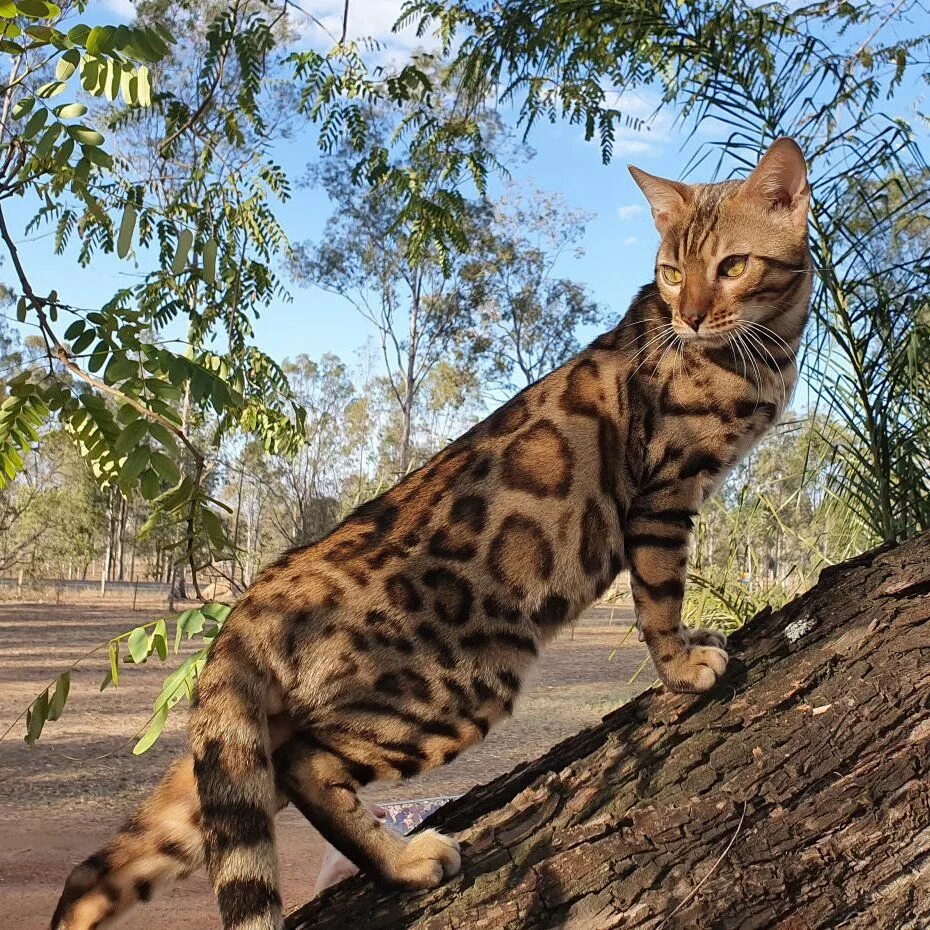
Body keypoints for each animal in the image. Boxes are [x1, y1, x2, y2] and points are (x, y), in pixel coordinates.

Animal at [50, 138, 808, 928]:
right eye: (672, 272)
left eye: (732, 266)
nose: (687, 318)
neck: (768, 348)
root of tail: (257, 597)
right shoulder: (665, 490)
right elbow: (660, 598)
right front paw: (682, 665)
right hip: (462, 683)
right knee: (305, 769)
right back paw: (405, 861)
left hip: (231, 755)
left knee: (102, 867)